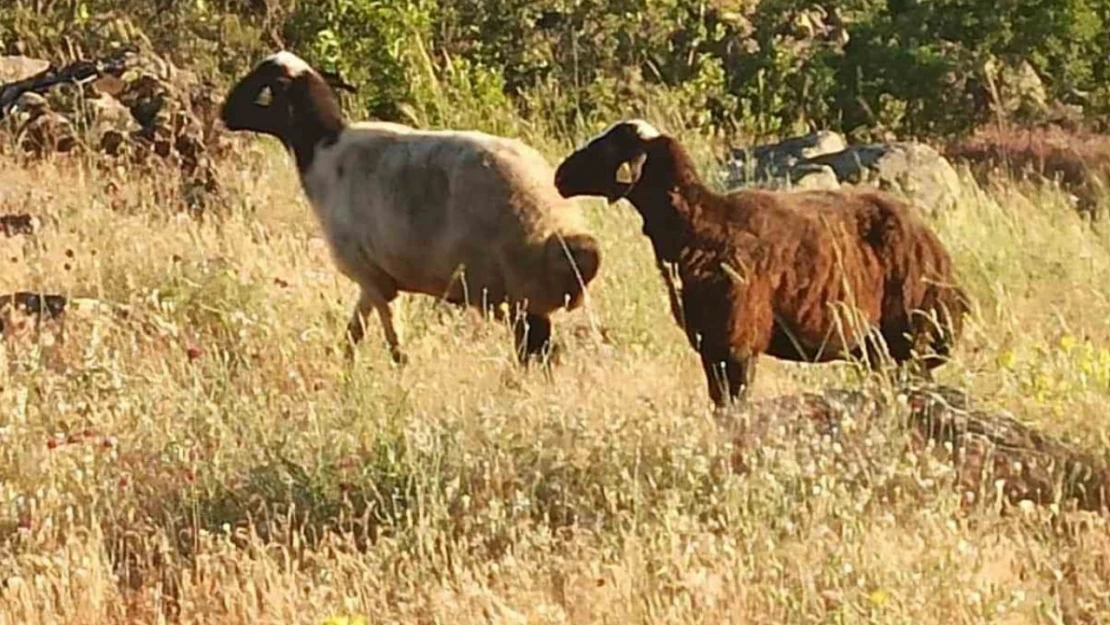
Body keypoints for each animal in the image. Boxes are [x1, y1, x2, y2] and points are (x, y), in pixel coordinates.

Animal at [550, 120, 967, 408]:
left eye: (609, 149)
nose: (560, 175)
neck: (701, 225)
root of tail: (939, 253)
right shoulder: (711, 346)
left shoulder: (737, 341)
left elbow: (736, 405)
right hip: (877, 349)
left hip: (911, 340)